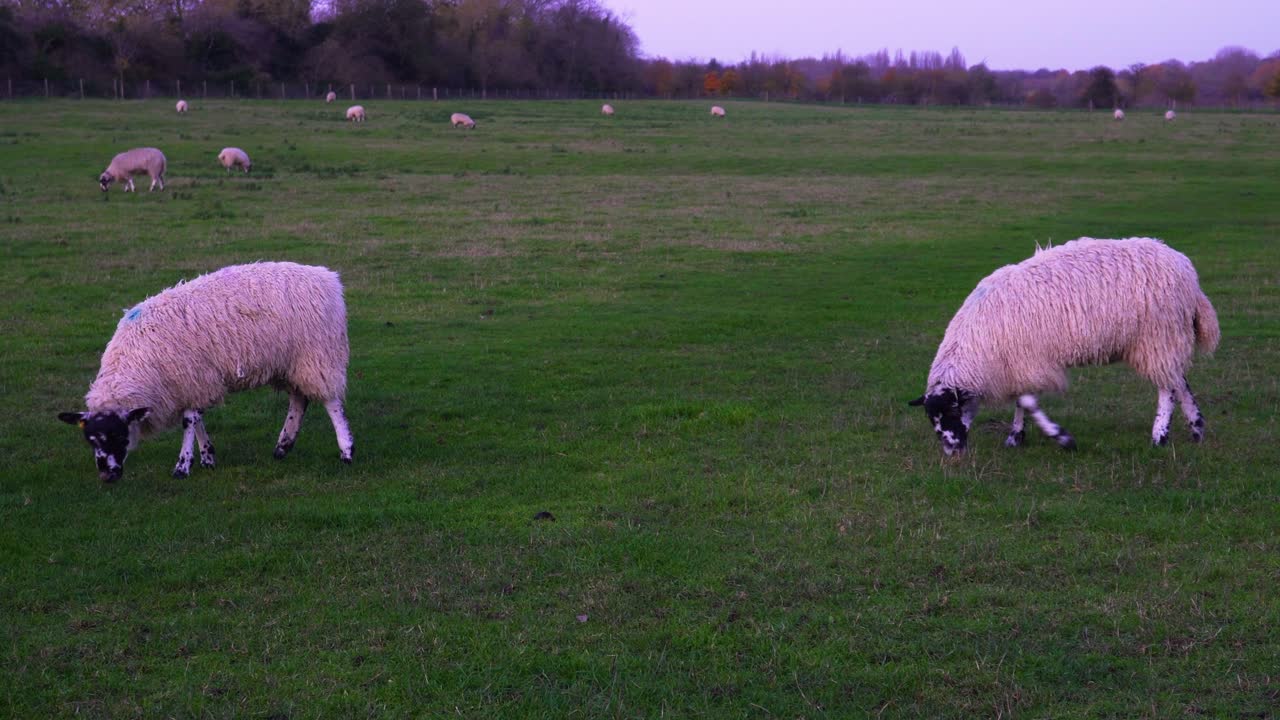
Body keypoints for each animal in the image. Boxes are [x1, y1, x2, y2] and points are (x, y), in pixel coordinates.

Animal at [58, 262, 354, 482]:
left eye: (119, 435)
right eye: (91, 441)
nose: (107, 476)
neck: (137, 361)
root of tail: (327, 278)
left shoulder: (193, 376)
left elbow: (189, 421)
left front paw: (182, 466)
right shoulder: (191, 383)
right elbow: (196, 418)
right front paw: (207, 456)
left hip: (319, 355)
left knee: (331, 402)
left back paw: (346, 450)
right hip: (292, 363)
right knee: (299, 400)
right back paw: (283, 446)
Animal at [909, 237, 1219, 455]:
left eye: (950, 412)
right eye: (931, 419)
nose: (952, 452)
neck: (975, 347)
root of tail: (1187, 272)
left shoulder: (1029, 360)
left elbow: (1026, 400)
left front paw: (1061, 437)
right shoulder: (1020, 363)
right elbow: (1022, 399)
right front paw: (1016, 436)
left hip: (1157, 336)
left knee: (1167, 388)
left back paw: (1159, 436)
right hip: (1168, 339)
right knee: (1179, 380)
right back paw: (1197, 428)